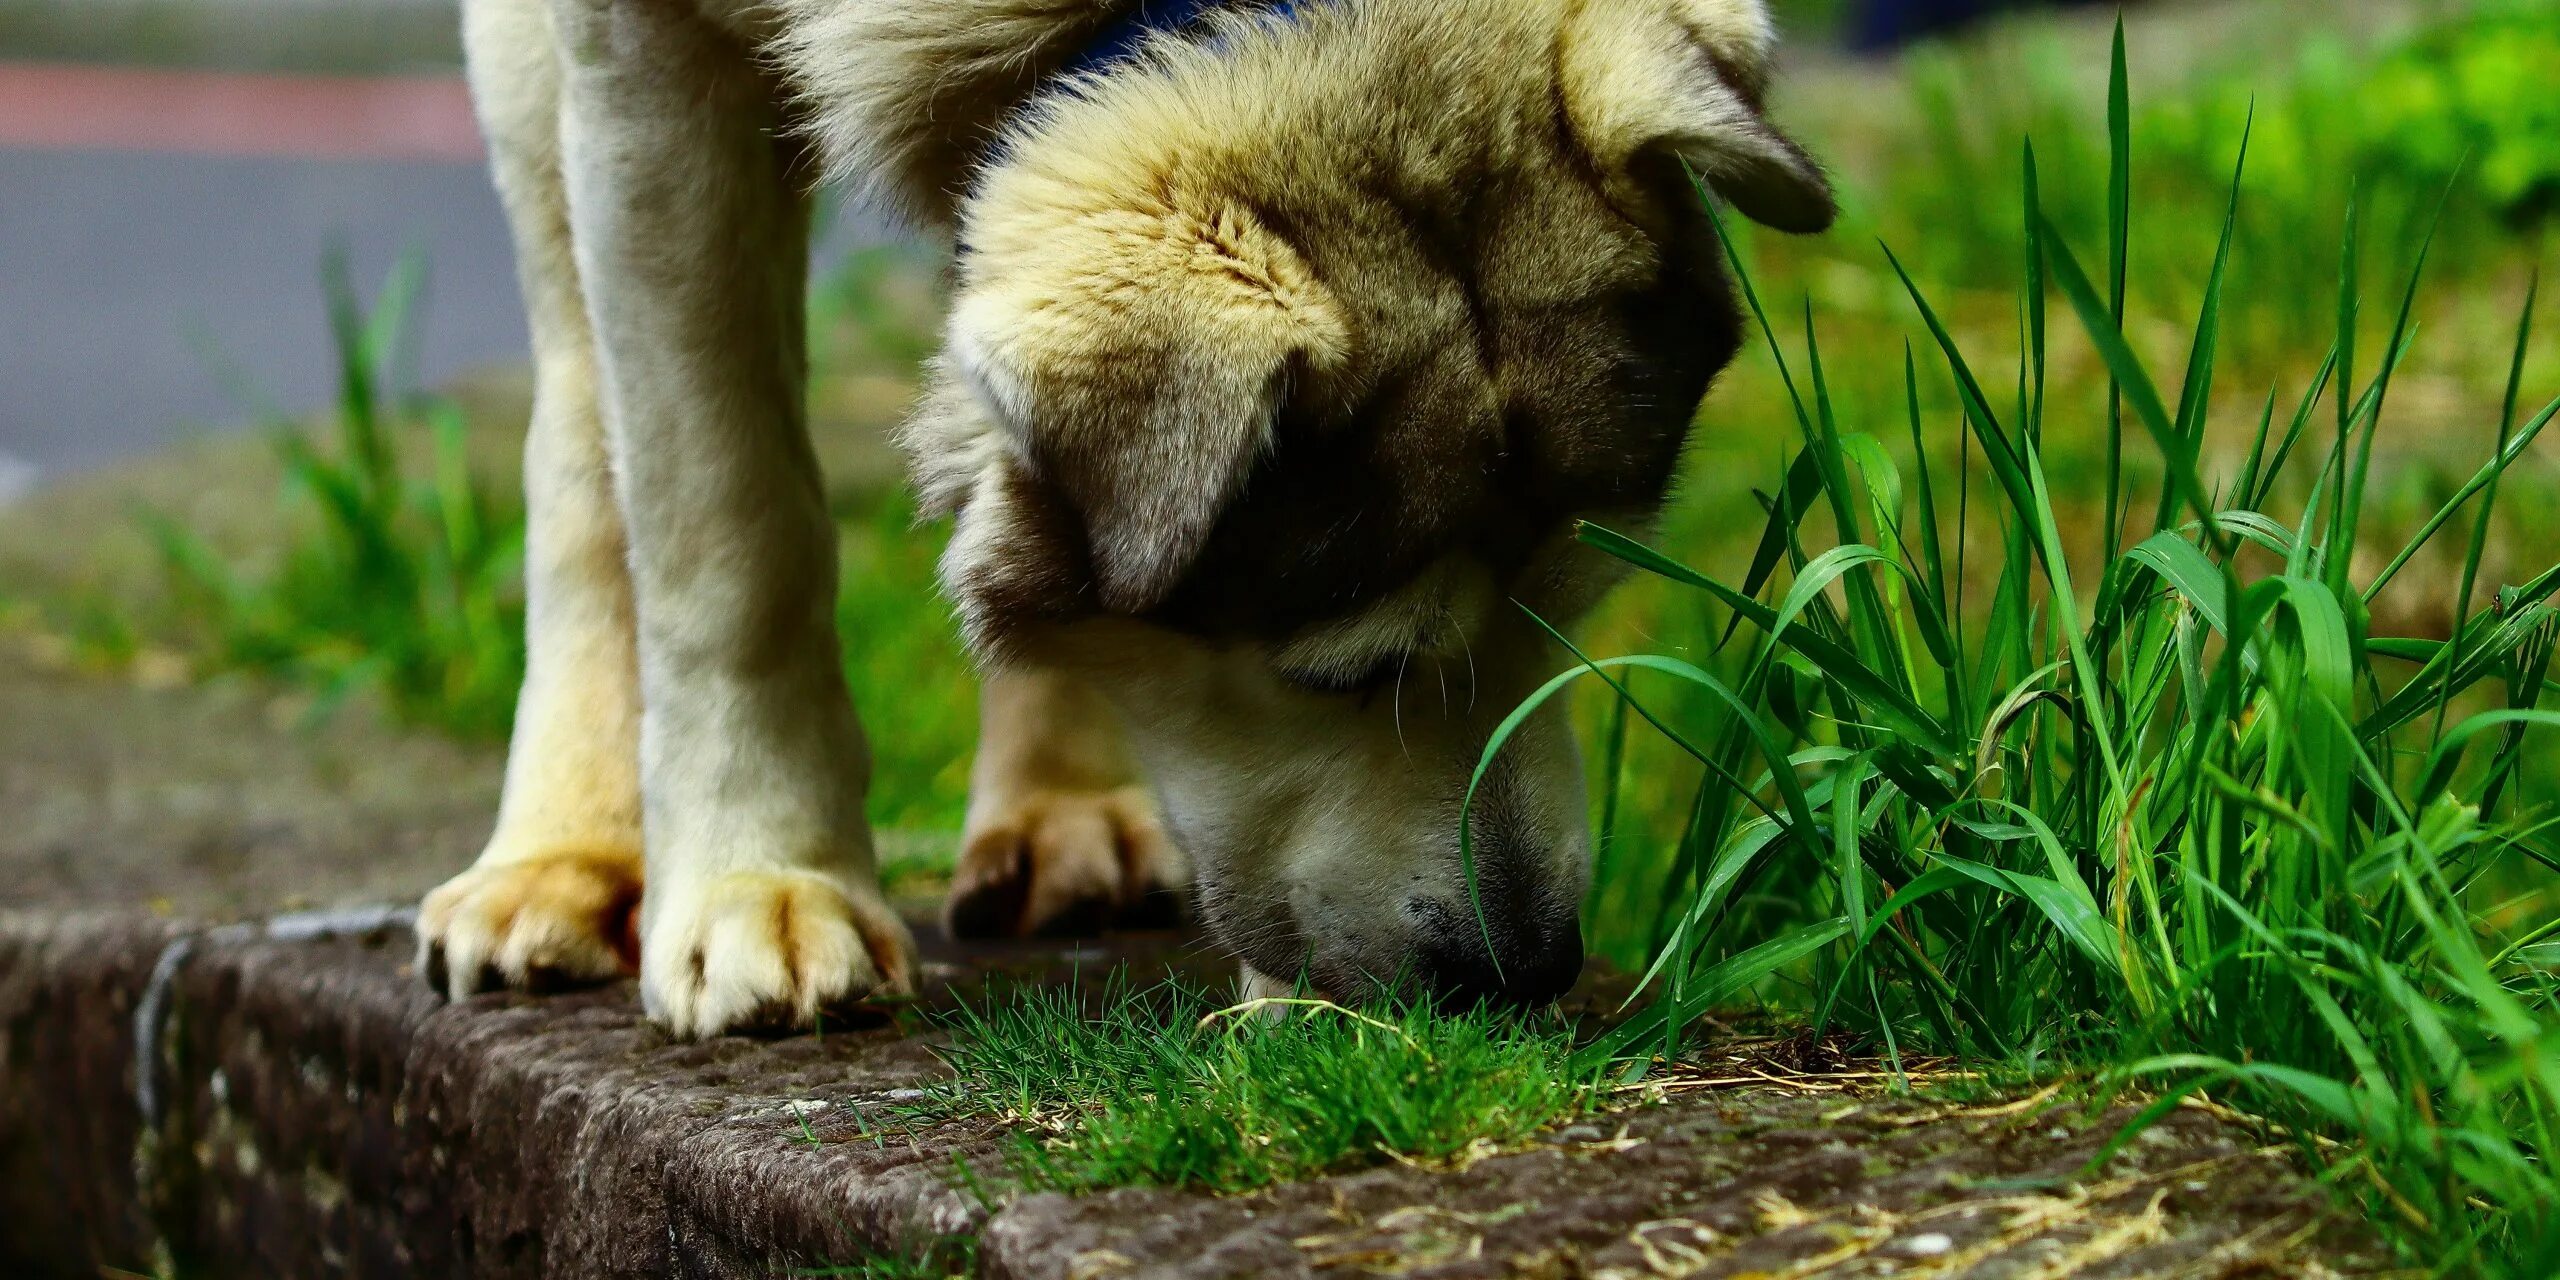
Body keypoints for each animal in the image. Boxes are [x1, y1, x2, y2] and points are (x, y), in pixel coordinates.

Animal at [419, 0, 1832, 1034]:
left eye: (1570, 613)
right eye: (1347, 673)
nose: (1526, 967)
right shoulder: (638, 54)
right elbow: (725, 524)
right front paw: (758, 874)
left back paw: (1063, 809)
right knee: (584, 413)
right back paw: (560, 852)